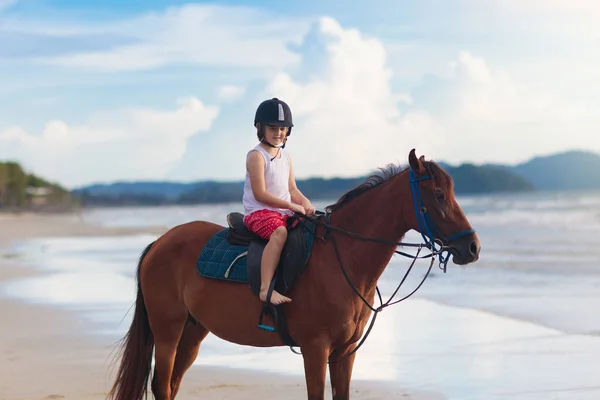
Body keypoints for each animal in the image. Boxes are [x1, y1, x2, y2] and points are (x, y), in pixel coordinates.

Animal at [105, 149, 482, 400]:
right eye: (438, 195)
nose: (473, 247)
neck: (341, 259)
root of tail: (160, 242)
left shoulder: (345, 352)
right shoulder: (315, 349)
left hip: (193, 331)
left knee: (171, 385)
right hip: (167, 330)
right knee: (161, 382)